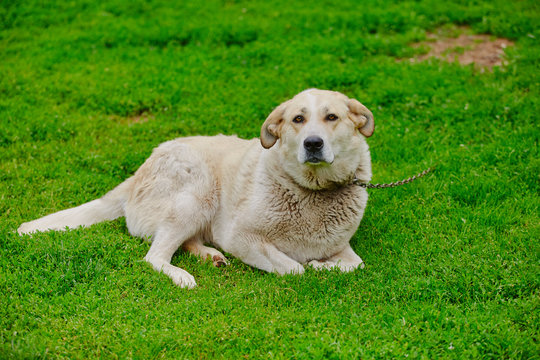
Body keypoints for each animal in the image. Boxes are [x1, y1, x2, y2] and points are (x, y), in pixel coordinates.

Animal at [16, 88, 374, 288]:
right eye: (298, 119)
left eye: (331, 117)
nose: (313, 143)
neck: (311, 191)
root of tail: (140, 169)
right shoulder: (240, 237)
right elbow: (295, 268)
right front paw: (313, 267)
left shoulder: (342, 247)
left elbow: (356, 264)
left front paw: (324, 266)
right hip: (199, 191)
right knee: (154, 256)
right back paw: (182, 275)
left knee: (182, 241)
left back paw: (209, 256)